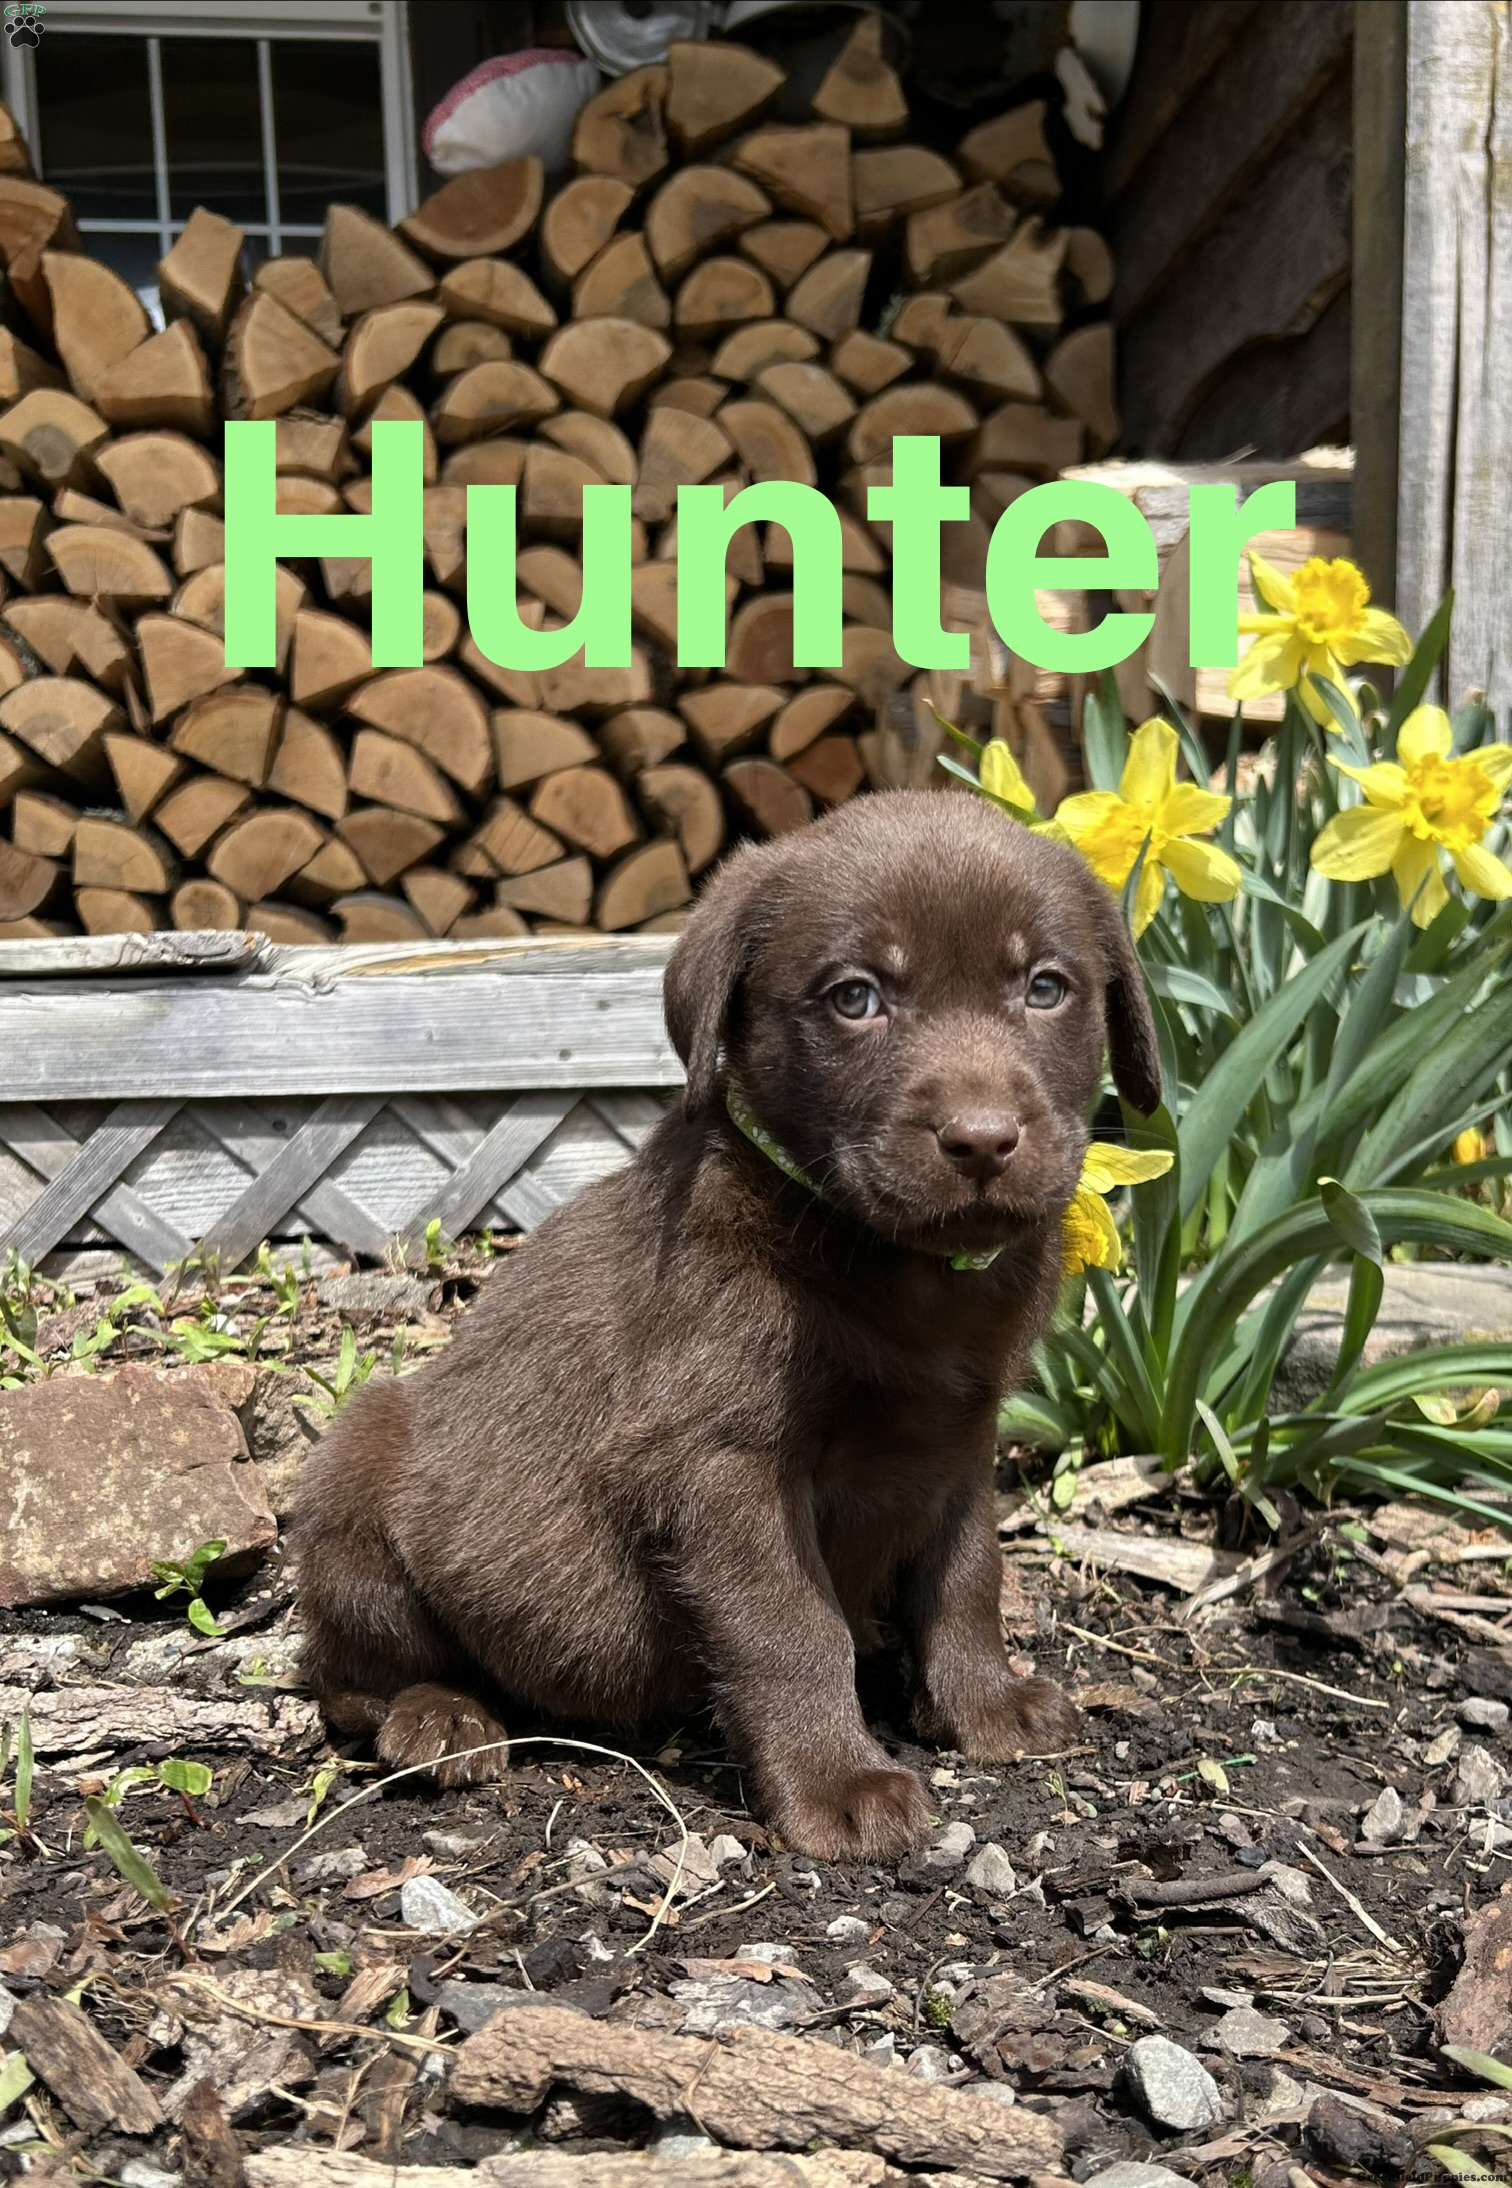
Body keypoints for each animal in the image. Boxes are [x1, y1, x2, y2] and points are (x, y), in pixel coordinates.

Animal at [296, 790, 1160, 1859]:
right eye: (855, 998)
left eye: (1045, 987)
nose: (983, 1141)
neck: (893, 1266)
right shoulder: (718, 1461)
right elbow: (789, 1625)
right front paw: (836, 1783)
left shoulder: (965, 1435)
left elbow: (967, 1576)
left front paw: (984, 1708)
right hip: (358, 1476)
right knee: (348, 1681)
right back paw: (442, 1719)